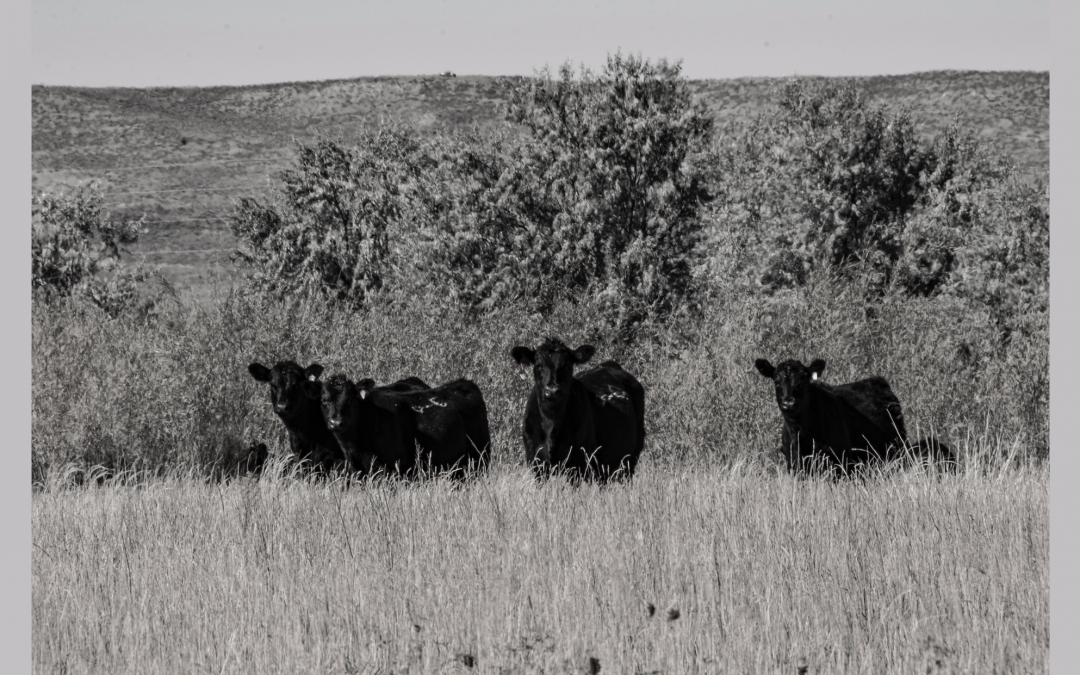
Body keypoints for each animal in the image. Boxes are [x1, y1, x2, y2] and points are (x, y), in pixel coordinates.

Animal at [304, 371, 490, 477]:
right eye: (324, 400)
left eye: (349, 399)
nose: (336, 422)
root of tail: (462, 383)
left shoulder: (391, 470)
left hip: (479, 460)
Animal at [509, 336, 643, 479]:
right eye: (538, 365)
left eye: (568, 365)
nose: (552, 391)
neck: (551, 422)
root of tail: (610, 365)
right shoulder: (536, 461)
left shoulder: (578, 463)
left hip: (630, 459)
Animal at [756, 358, 950, 473]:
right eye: (776, 381)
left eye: (803, 380)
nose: (788, 402)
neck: (801, 434)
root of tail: (878, 381)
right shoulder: (794, 463)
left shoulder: (839, 463)